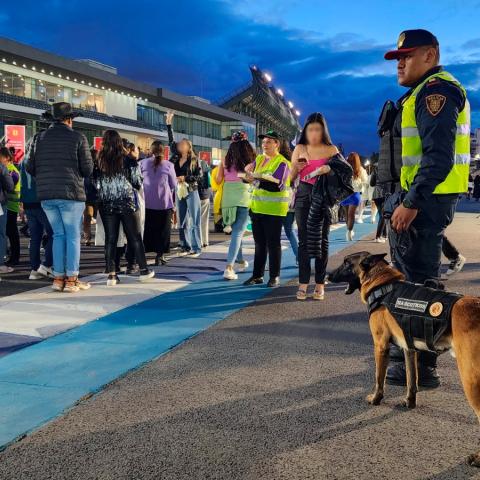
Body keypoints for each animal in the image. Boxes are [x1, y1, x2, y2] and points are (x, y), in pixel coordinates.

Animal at [330, 251, 480, 464]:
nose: (327, 276)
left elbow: (379, 378)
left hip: (470, 379)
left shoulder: (380, 346)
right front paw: (409, 402)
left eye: (346, 263)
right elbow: (411, 379)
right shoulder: (409, 349)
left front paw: (376, 398)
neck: (382, 282)